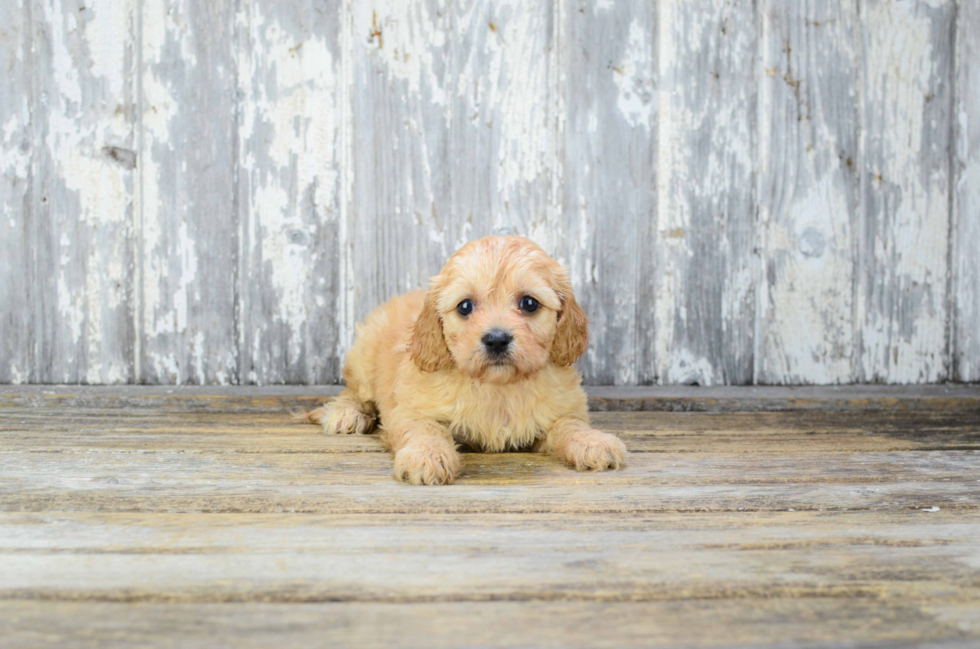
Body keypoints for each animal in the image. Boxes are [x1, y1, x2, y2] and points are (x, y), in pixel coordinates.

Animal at [306, 235, 628, 484]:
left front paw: (593, 442)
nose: (496, 339)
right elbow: (426, 429)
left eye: (529, 303)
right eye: (465, 307)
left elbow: (570, 425)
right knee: (355, 392)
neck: (497, 388)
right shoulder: (410, 410)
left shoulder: (561, 409)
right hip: (362, 356)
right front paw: (427, 457)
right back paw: (347, 414)